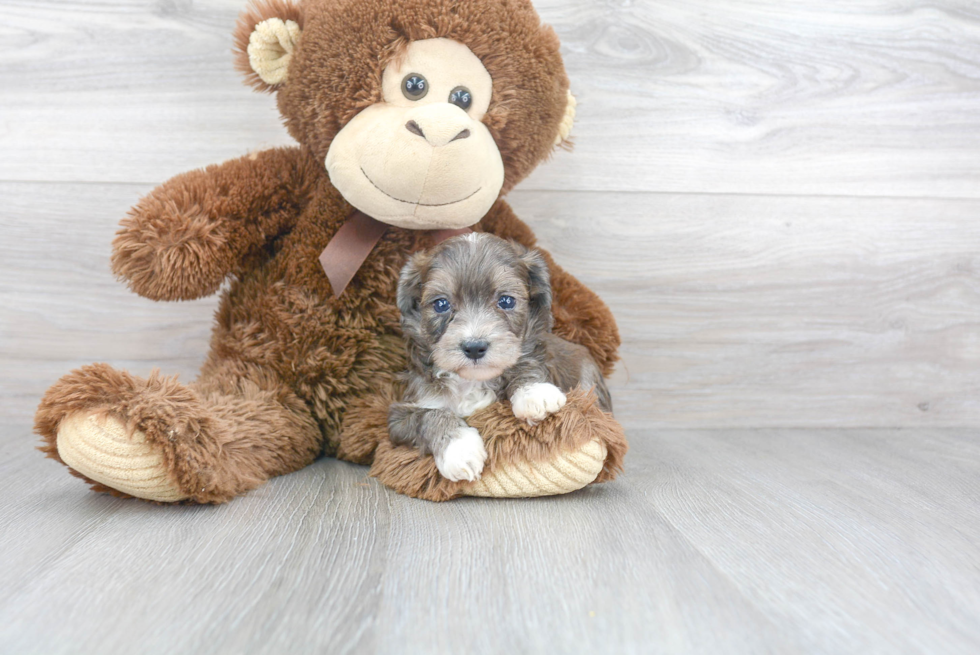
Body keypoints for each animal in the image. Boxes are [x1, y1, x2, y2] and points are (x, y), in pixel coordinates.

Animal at [386, 232, 608, 482]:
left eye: (506, 301)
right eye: (441, 304)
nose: (474, 347)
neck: (472, 381)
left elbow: (524, 363)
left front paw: (534, 392)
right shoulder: (401, 414)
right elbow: (429, 416)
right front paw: (460, 450)